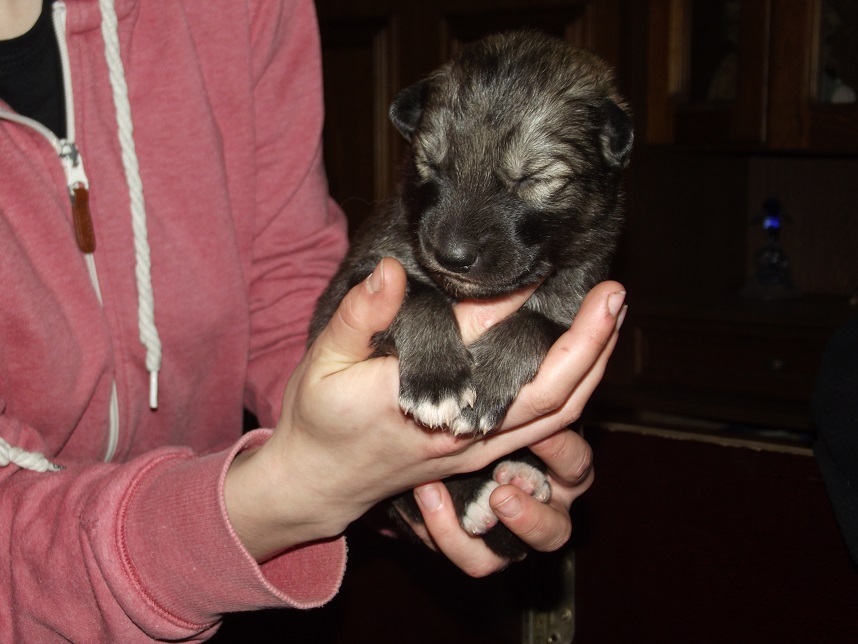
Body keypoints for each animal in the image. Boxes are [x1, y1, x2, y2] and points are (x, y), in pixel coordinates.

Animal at [309, 30, 633, 558]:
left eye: (534, 178)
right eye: (430, 163)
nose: (451, 255)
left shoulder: (580, 290)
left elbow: (535, 322)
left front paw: (486, 380)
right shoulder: (359, 278)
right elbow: (418, 294)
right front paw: (438, 380)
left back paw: (519, 473)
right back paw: (479, 495)